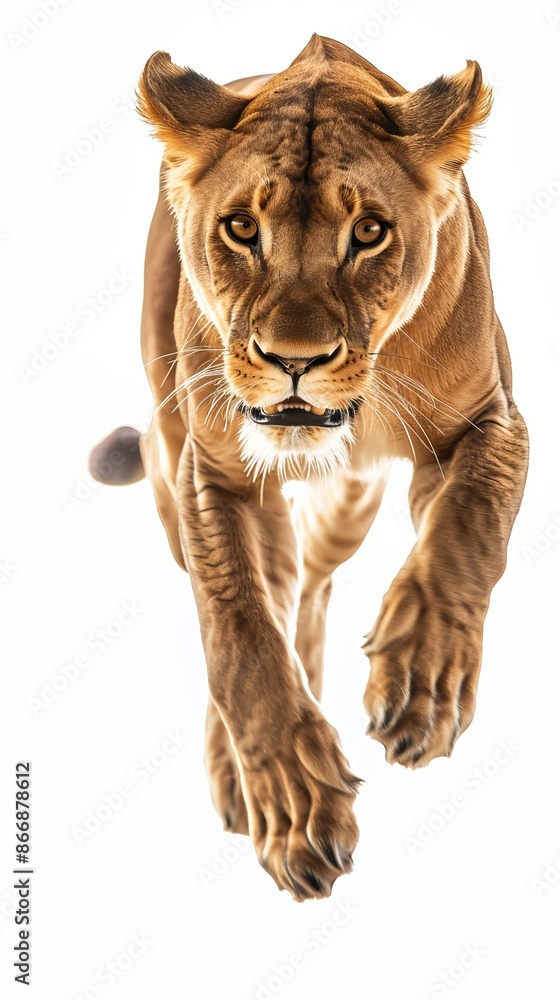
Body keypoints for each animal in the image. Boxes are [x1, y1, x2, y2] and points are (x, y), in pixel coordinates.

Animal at [88, 35, 529, 901]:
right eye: (240, 228)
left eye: (369, 231)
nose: (295, 361)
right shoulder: (214, 475)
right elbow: (238, 632)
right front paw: (294, 803)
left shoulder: (492, 422)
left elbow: (468, 530)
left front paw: (422, 681)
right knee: (266, 599)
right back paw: (237, 774)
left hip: (349, 505)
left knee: (311, 587)